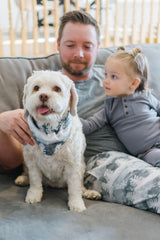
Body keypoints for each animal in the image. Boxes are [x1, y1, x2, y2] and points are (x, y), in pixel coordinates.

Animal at [14, 70, 100, 211]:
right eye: (36, 88)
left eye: (57, 88)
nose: (43, 96)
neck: (49, 129)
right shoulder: (32, 161)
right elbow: (35, 181)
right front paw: (34, 195)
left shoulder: (73, 165)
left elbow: (74, 188)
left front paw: (76, 203)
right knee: (28, 174)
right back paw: (23, 179)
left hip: (82, 167)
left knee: (80, 186)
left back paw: (88, 192)